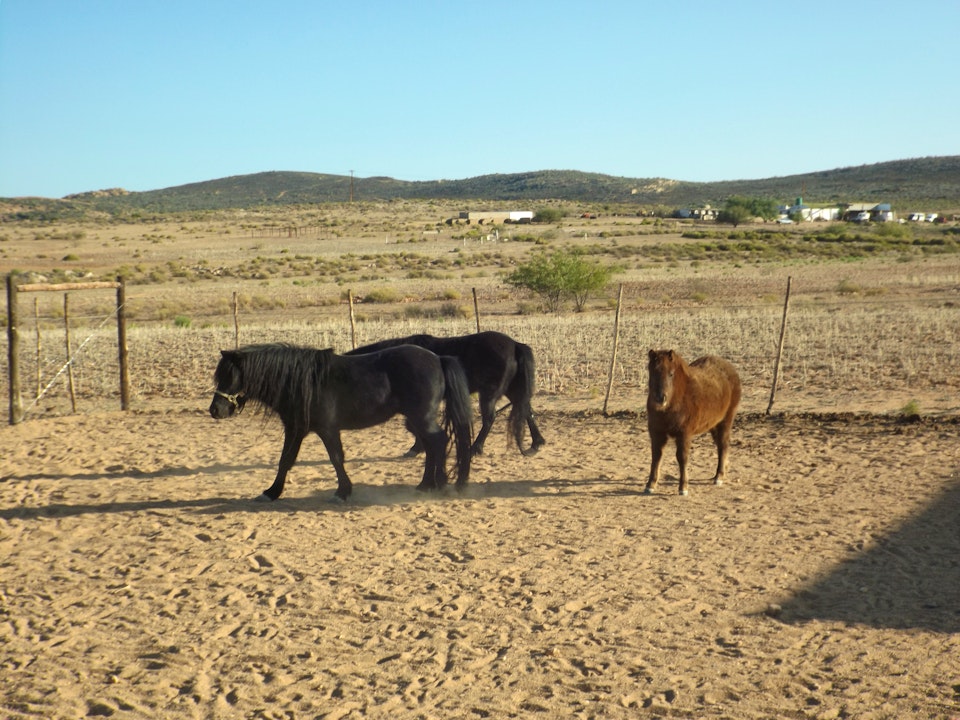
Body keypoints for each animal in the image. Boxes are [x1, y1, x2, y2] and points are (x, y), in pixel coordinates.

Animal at [214, 344, 476, 500]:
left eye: (231, 376)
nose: (215, 410)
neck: (301, 381)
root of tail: (437, 358)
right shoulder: (295, 429)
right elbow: (285, 460)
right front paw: (272, 492)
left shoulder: (328, 430)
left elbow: (336, 458)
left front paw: (343, 491)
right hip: (417, 418)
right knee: (432, 446)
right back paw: (425, 484)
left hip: (422, 418)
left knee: (439, 442)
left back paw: (440, 483)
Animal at [346, 330, 544, 456]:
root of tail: (515, 345)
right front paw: (418, 447)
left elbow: (413, 426)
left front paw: (416, 448)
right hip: (512, 389)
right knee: (526, 410)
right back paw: (536, 443)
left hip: (489, 393)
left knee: (490, 418)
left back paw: (476, 448)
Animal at [644, 348, 744, 496]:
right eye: (653, 372)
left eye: (671, 374)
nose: (660, 398)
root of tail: (730, 368)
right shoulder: (656, 433)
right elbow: (656, 456)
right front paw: (650, 485)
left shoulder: (684, 434)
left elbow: (682, 458)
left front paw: (683, 488)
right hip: (713, 425)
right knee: (720, 445)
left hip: (726, 421)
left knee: (723, 445)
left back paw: (719, 477)